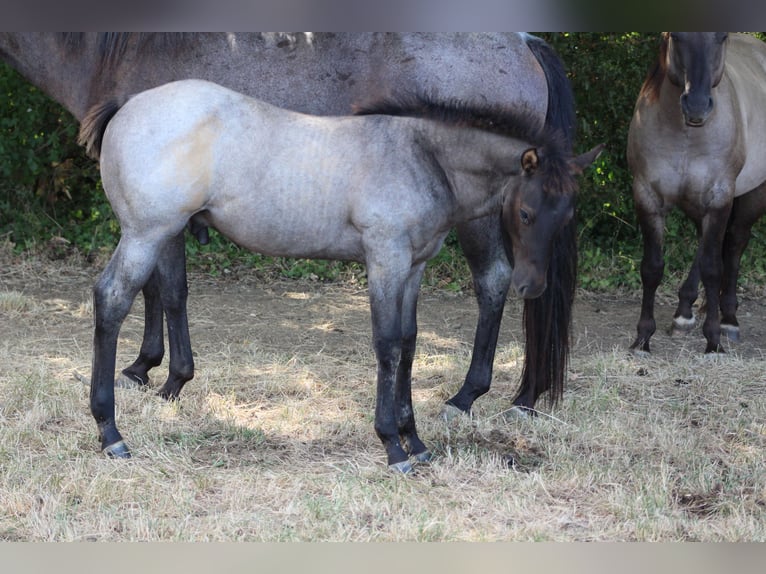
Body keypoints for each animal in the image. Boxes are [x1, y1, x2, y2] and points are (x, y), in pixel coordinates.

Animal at [1, 32, 576, 427]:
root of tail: (525, 42)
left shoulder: (161, 221)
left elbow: (166, 290)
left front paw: (159, 374)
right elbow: (162, 290)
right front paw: (154, 372)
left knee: (494, 282)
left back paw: (470, 395)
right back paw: (522, 397)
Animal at [77, 79, 600, 471]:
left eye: (568, 215)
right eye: (526, 213)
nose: (532, 286)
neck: (421, 155)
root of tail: (129, 104)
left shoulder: (414, 266)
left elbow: (409, 343)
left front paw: (415, 441)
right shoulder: (385, 259)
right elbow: (387, 346)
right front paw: (392, 445)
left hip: (160, 234)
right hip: (147, 232)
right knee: (113, 298)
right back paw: (110, 430)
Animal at [628, 32, 766, 355]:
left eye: (721, 36)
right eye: (676, 36)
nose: (697, 106)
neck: (687, 136)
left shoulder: (719, 198)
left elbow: (714, 267)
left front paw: (713, 340)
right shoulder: (647, 197)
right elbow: (652, 268)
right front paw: (643, 338)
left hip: (751, 196)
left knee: (735, 244)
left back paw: (729, 320)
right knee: (705, 243)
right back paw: (684, 313)